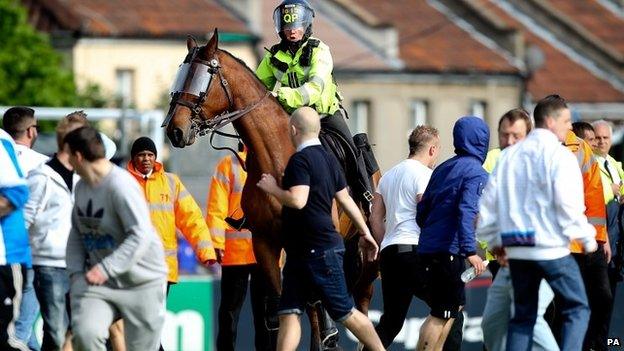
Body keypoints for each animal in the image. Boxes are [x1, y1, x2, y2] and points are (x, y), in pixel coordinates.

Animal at [163, 29, 378, 350]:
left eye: (203, 78)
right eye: (181, 75)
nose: (174, 130)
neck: (278, 156)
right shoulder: (266, 243)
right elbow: (279, 307)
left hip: (368, 259)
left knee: (357, 304)